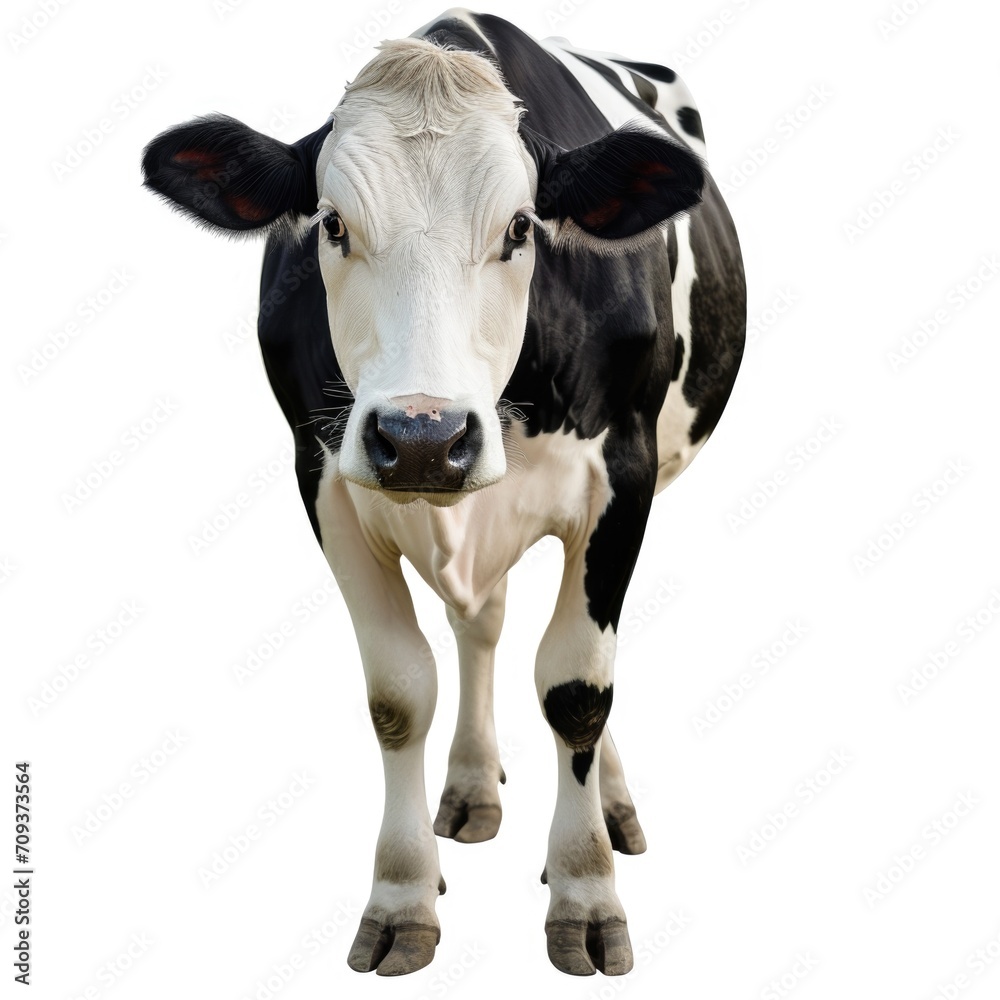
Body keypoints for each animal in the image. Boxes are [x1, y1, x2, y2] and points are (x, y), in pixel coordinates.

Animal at [145, 5, 748, 976]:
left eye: (521, 227)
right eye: (333, 224)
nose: (423, 435)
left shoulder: (623, 479)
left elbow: (578, 689)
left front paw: (585, 892)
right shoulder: (323, 479)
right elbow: (400, 694)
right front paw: (402, 896)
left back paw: (612, 806)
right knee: (482, 626)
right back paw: (471, 786)